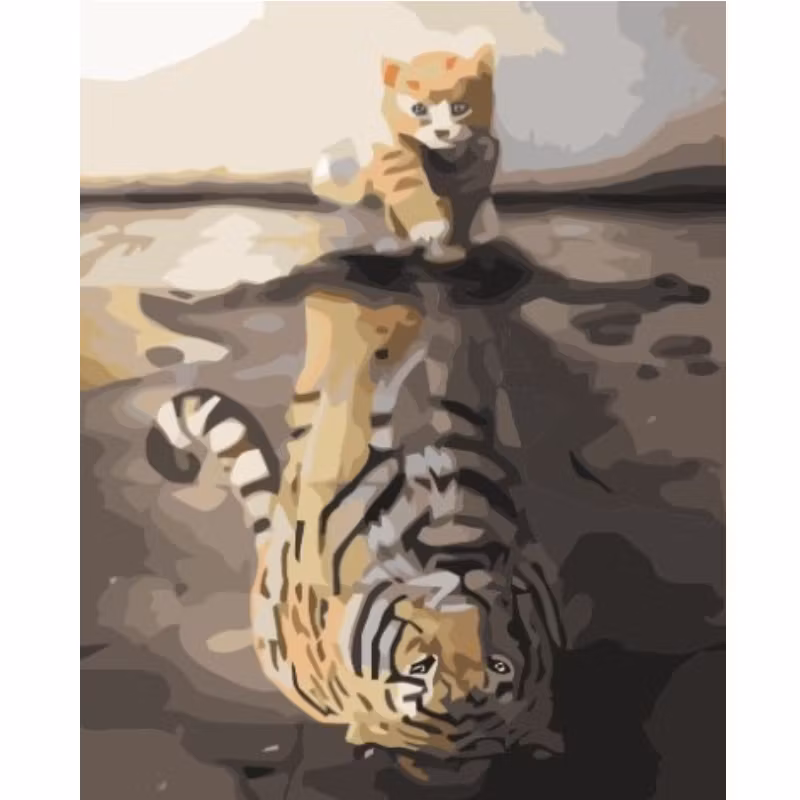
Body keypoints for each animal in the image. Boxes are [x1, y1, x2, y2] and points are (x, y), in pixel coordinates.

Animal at [311, 46, 501, 264]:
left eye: (459, 108)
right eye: (418, 109)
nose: (442, 132)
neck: (442, 157)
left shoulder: (478, 169)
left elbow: (464, 208)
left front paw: (449, 251)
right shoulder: (395, 161)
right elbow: (409, 187)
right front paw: (429, 227)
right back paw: (393, 245)